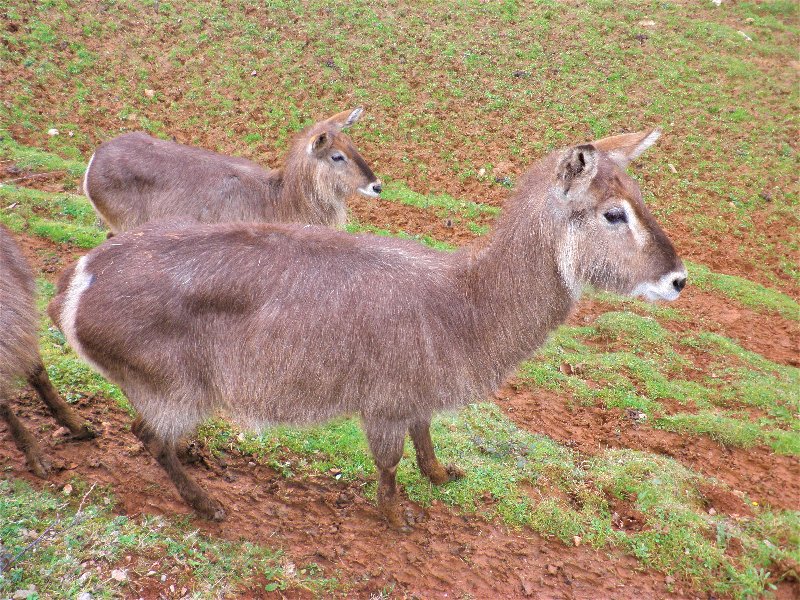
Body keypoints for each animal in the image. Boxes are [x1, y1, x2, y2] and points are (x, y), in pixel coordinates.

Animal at [51, 129, 688, 528]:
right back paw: (207, 504)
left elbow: (426, 438)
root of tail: (78, 279)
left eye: (641, 198)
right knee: (150, 437)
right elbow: (389, 462)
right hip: (177, 389)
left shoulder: (416, 395)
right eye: (613, 212)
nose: (679, 279)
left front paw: (442, 475)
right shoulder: (384, 401)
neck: (464, 304)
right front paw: (397, 515)